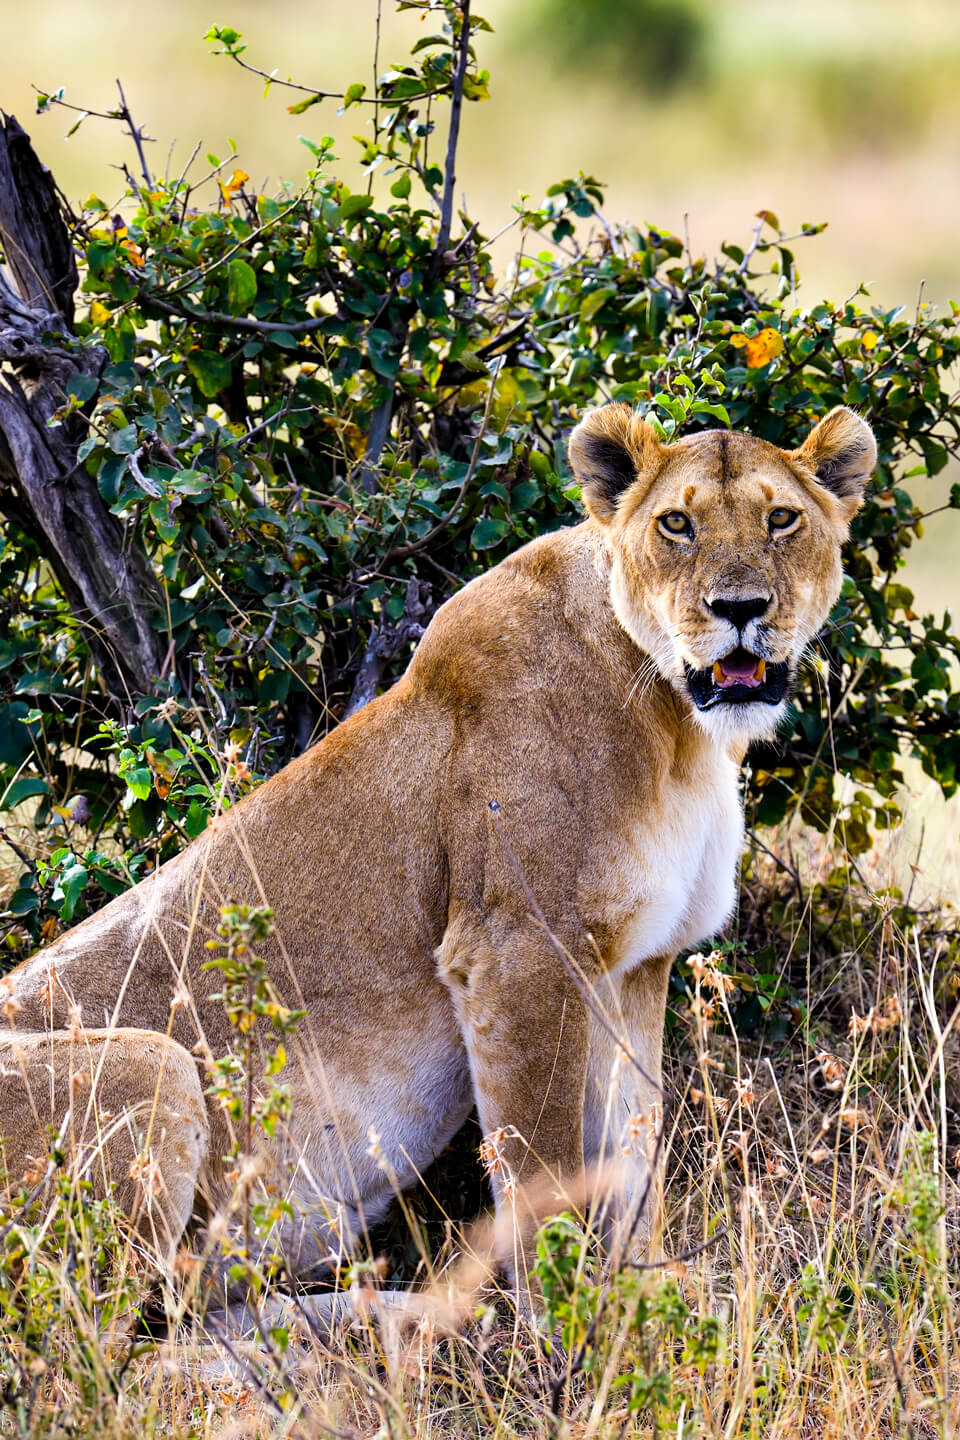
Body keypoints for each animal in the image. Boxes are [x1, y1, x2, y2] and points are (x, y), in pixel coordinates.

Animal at [0, 403, 875, 1308]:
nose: (740, 607)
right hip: (158, 1065)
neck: (679, 730)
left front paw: (644, 1295)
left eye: (782, 519)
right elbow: (543, 1161)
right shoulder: (517, 950)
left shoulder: (635, 964)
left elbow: (634, 1151)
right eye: (677, 525)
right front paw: (562, 1319)